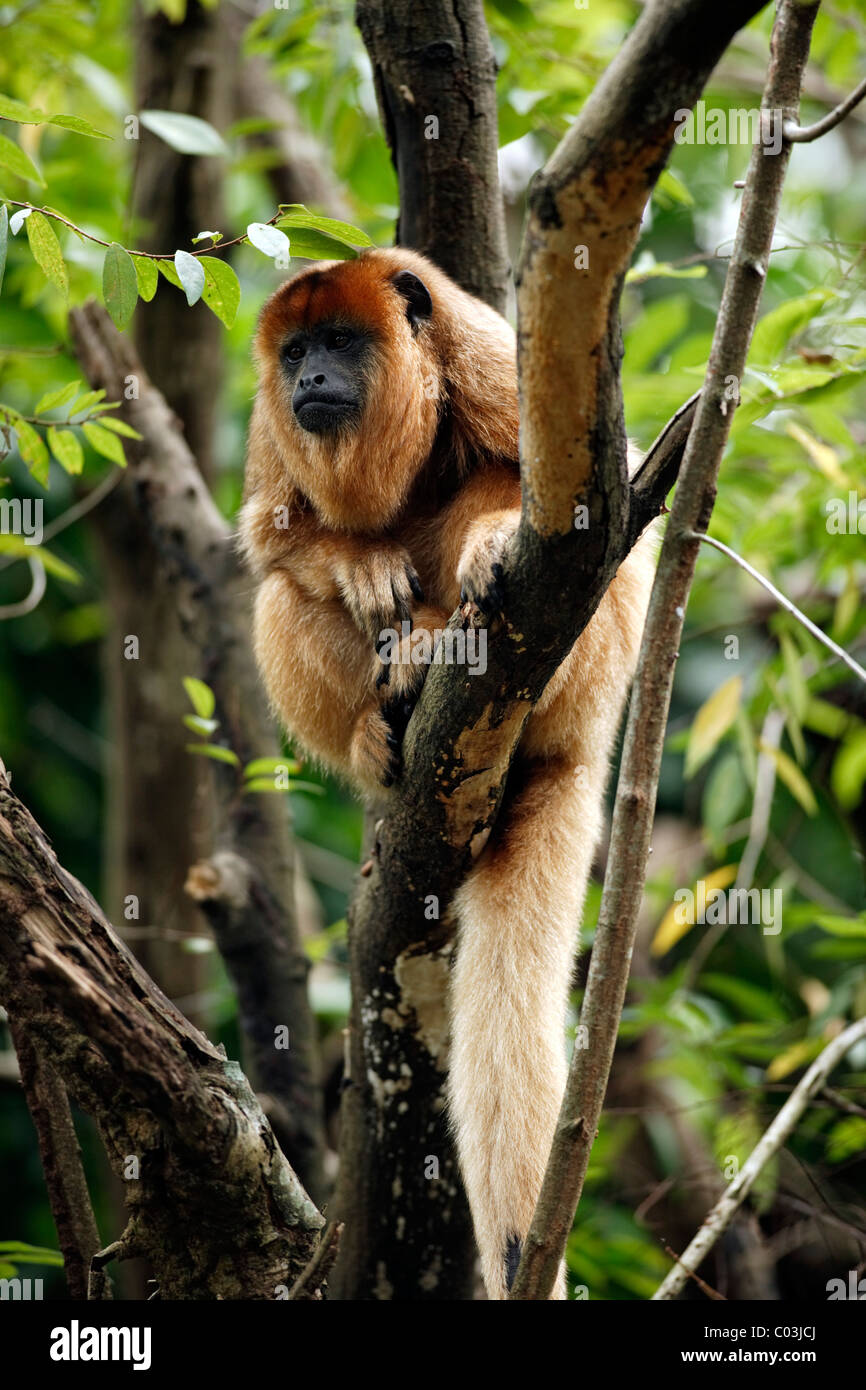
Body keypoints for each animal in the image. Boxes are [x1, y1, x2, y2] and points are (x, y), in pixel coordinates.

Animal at [240, 244, 653, 1295]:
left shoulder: (486, 355)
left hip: (591, 670)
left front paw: (491, 543)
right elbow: (274, 542)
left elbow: (602, 507)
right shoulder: (268, 425)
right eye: (294, 351)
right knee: (276, 597)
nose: (309, 378)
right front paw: (357, 564)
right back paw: (385, 713)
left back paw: (447, 634)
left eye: (342, 342)